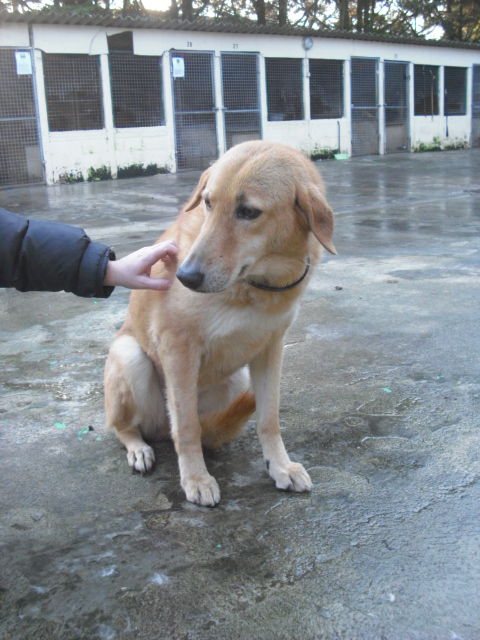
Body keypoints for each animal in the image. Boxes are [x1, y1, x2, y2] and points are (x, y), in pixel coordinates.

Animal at [105, 140, 338, 504]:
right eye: (208, 203)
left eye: (249, 212)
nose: (184, 276)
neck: (257, 285)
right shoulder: (178, 347)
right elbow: (186, 426)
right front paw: (196, 478)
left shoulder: (271, 348)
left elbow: (268, 418)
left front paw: (279, 466)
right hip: (130, 357)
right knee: (128, 427)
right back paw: (139, 448)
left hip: (238, 380)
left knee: (209, 429)